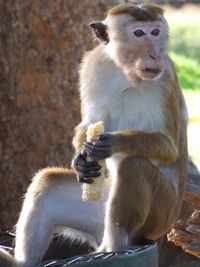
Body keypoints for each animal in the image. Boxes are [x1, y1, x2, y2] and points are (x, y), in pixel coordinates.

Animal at [0, 3, 188, 267]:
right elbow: (87, 123)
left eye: (156, 32)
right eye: (139, 33)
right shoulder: (92, 66)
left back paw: (114, 248)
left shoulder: (166, 78)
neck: (126, 74)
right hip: (98, 210)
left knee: (134, 166)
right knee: (47, 184)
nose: (155, 54)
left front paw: (110, 142)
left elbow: (168, 147)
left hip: (160, 216)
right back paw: (21, 262)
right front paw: (80, 159)